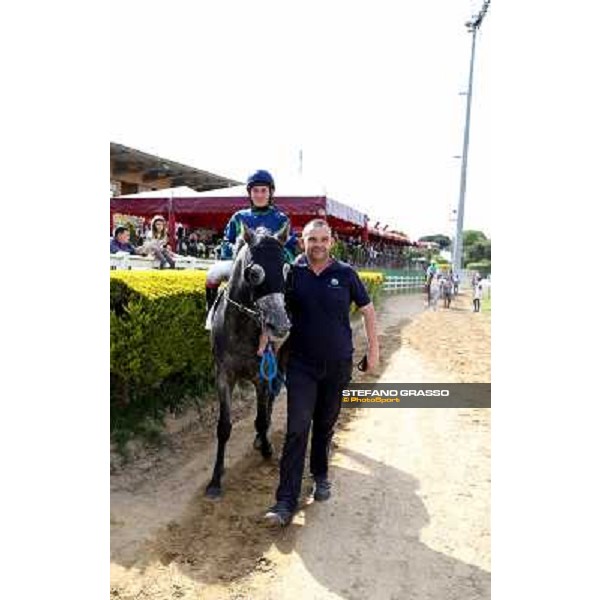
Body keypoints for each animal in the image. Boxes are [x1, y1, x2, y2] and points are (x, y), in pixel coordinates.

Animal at [205, 224, 292, 496]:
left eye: (286, 270)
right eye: (254, 273)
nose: (280, 325)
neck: (241, 328)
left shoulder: (261, 375)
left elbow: (262, 418)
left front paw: (266, 447)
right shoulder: (224, 375)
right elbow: (224, 427)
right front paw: (215, 479)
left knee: (272, 399)